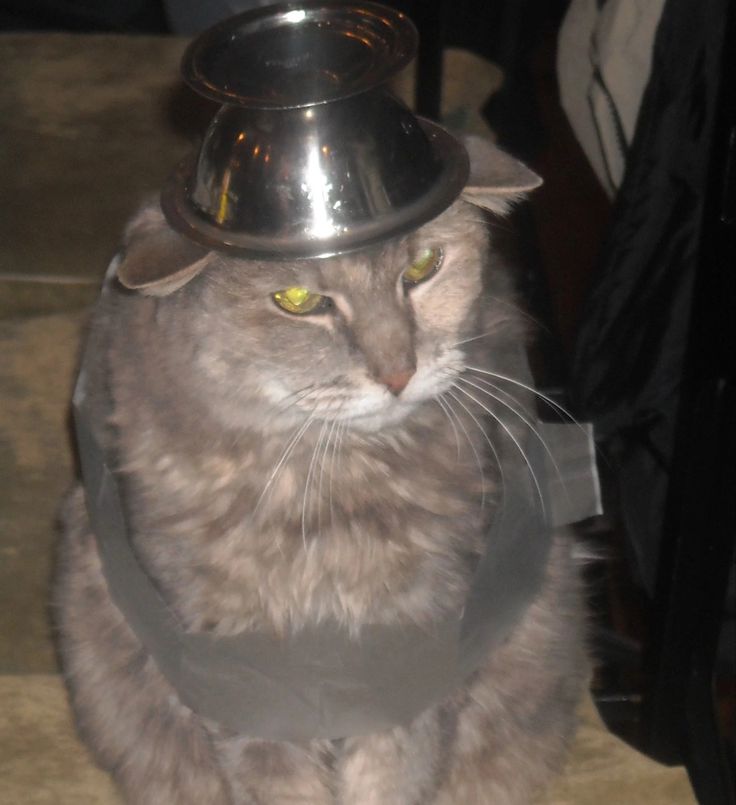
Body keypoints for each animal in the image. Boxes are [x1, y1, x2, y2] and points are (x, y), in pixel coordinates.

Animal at [54, 141, 588, 800]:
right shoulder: (247, 681)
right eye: (299, 302)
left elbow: (391, 778)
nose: (398, 373)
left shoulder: (411, 652)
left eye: (423, 267)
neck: (329, 492)